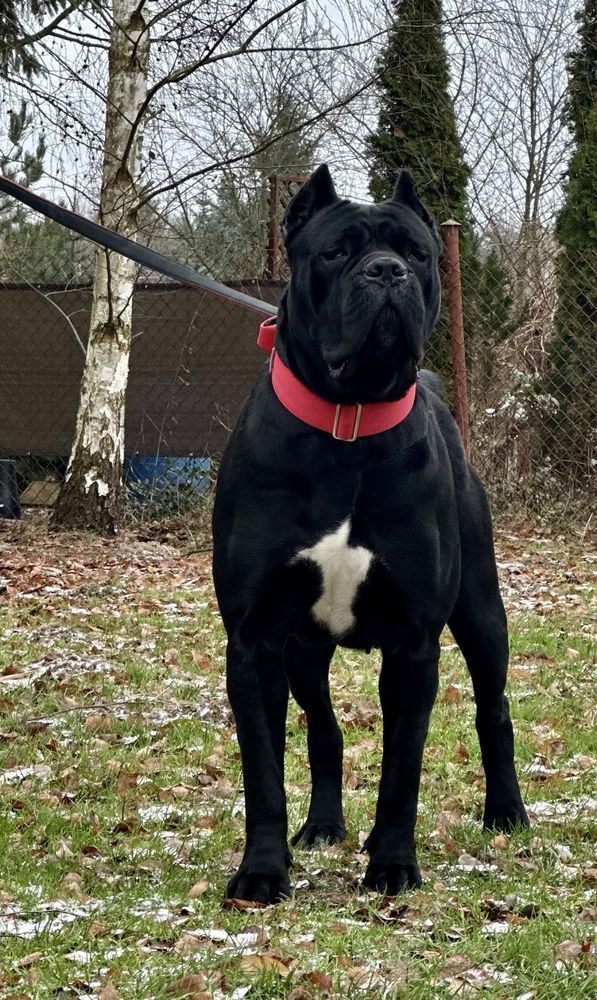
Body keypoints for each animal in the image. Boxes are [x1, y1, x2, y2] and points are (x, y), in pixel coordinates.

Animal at [211, 166, 528, 908]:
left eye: (416, 253)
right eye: (334, 253)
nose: (386, 272)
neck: (345, 424)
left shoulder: (413, 644)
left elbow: (401, 768)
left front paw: (391, 864)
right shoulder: (255, 639)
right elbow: (263, 769)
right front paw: (261, 871)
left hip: (481, 612)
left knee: (493, 709)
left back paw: (506, 812)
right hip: (303, 651)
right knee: (324, 732)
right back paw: (322, 826)